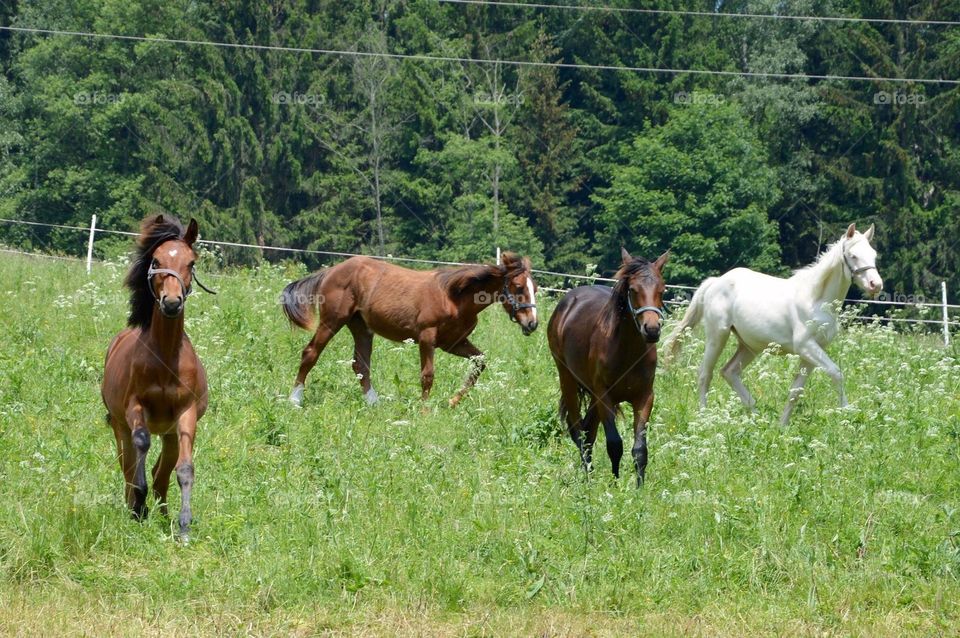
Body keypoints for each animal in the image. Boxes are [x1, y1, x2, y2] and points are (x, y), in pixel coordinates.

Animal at [101, 214, 214, 538]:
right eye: (156, 260)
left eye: (191, 262)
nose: (172, 302)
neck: (165, 358)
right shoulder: (135, 408)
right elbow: (141, 446)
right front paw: (139, 508)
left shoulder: (186, 415)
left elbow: (185, 469)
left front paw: (184, 525)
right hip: (119, 426)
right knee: (128, 465)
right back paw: (135, 507)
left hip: (169, 434)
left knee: (160, 474)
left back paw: (164, 516)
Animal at [282, 252, 538, 407]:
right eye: (518, 287)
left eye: (535, 288)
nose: (532, 323)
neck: (454, 297)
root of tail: (330, 271)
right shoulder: (427, 338)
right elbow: (427, 376)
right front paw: (424, 411)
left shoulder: (454, 343)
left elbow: (479, 363)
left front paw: (451, 402)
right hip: (332, 321)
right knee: (311, 353)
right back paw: (294, 400)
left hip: (361, 327)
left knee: (360, 365)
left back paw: (374, 404)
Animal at [548, 248, 670, 486]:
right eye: (633, 289)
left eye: (662, 289)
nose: (651, 329)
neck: (627, 351)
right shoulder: (605, 396)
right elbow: (614, 444)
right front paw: (614, 485)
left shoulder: (644, 397)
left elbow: (640, 449)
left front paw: (639, 488)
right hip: (568, 380)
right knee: (579, 432)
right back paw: (589, 478)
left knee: (588, 431)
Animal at [663, 223, 883, 425]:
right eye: (853, 255)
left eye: (873, 255)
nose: (876, 285)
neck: (815, 299)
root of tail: (715, 282)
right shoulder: (805, 346)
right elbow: (837, 373)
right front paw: (848, 414)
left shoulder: (812, 353)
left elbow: (795, 391)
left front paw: (781, 427)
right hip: (718, 336)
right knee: (704, 374)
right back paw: (705, 418)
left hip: (749, 346)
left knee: (729, 372)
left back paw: (756, 417)